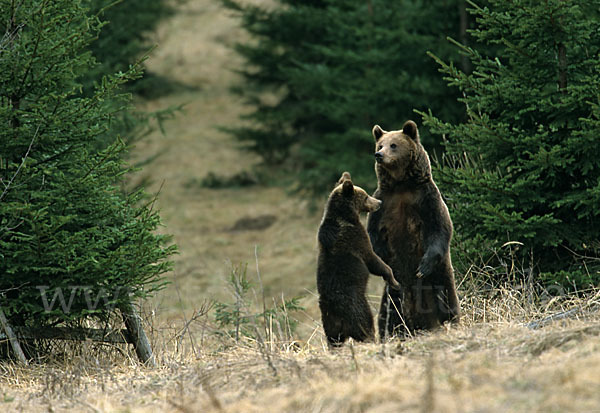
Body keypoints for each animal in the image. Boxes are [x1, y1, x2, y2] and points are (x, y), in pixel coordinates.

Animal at [316, 172, 400, 346]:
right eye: (366, 196)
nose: (379, 203)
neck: (346, 217)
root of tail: (338, 315)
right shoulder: (357, 240)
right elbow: (374, 261)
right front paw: (394, 281)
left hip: (329, 323)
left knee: (333, 340)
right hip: (358, 310)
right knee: (366, 327)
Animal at [366, 120, 460, 338]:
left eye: (393, 145)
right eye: (380, 144)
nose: (379, 155)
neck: (401, 185)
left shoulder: (426, 199)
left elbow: (439, 228)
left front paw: (422, 266)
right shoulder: (382, 202)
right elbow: (373, 232)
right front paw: (383, 254)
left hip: (440, 278)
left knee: (447, 303)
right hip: (393, 293)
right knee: (388, 315)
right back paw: (390, 334)